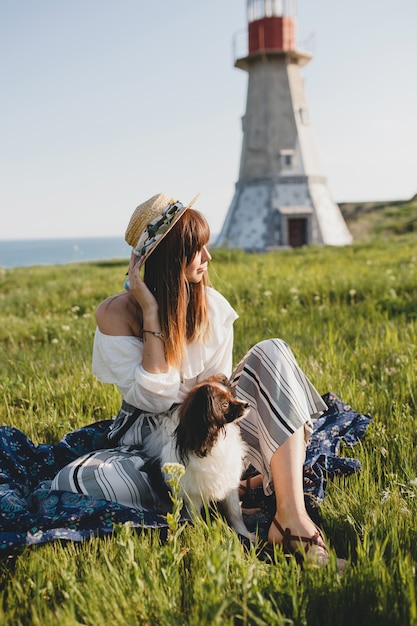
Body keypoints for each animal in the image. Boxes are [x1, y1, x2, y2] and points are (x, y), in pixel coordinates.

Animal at [158, 372, 254, 540]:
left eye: (232, 396)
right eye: (225, 404)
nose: (247, 404)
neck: (214, 441)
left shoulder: (230, 487)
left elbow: (235, 514)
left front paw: (246, 536)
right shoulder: (193, 497)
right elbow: (197, 520)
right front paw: (203, 535)